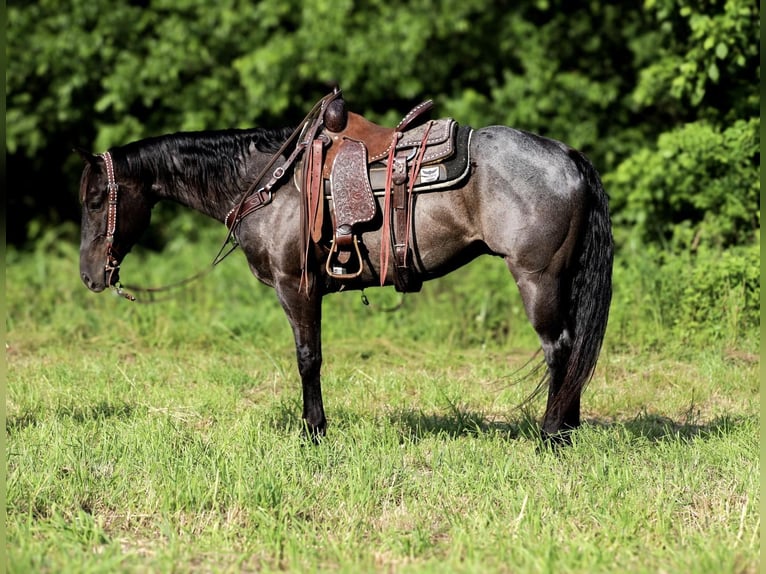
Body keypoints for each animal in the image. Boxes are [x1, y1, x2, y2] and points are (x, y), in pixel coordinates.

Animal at [77, 99, 613, 445]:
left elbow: (307, 358)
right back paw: (567, 429)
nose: (89, 276)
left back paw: (551, 436)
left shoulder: (296, 286)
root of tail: (567, 155)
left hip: (537, 277)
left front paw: (313, 433)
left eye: (97, 199)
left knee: (558, 349)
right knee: (571, 352)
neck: (268, 184)